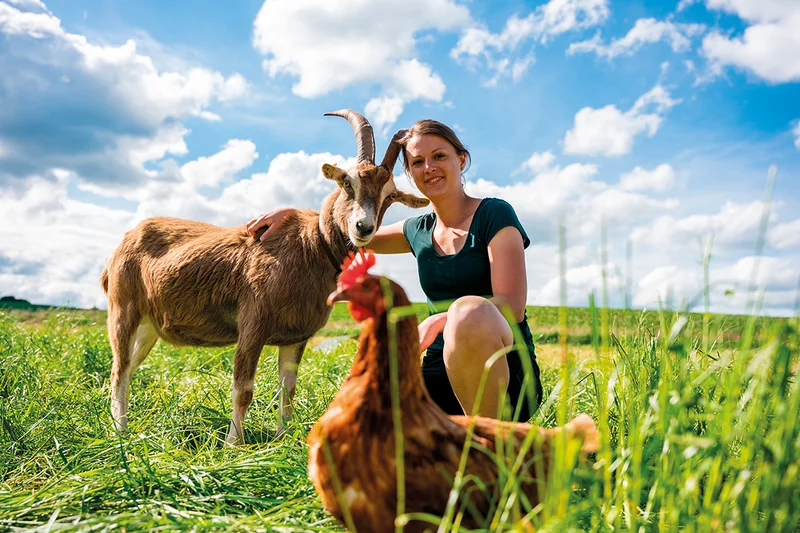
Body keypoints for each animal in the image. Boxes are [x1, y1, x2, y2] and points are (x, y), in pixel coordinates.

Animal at [101, 110, 429, 444]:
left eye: (390, 197)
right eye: (347, 183)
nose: (363, 227)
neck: (310, 246)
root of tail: (122, 244)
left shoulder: (296, 336)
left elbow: (288, 389)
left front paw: (283, 438)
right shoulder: (252, 324)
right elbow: (243, 390)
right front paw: (234, 444)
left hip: (148, 325)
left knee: (128, 367)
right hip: (123, 309)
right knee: (119, 370)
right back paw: (120, 431)